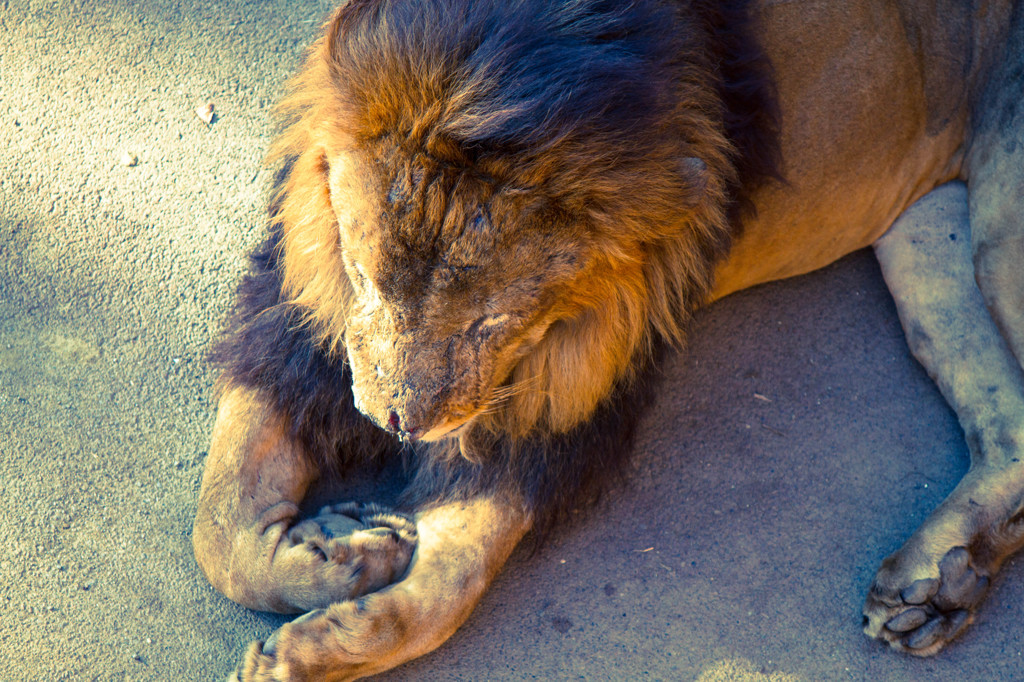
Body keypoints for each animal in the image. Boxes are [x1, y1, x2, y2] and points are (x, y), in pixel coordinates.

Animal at [190, 0, 1024, 675]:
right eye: (364, 278)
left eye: (491, 321)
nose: (398, 423)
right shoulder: (297, 327)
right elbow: (219, 527)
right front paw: (338, 553)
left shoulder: (570, 405)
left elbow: (448, 585)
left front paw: (311, 644)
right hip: (928, 236)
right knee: (1009, 423)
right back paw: (937, 585)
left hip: (1000, 236)